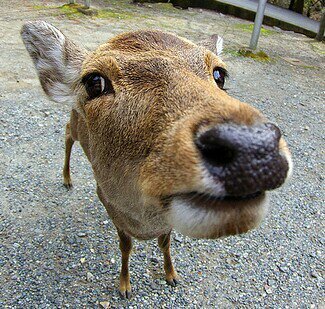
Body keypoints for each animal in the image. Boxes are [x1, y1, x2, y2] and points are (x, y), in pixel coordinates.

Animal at [21, 19, 292, 298]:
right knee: (66, 133)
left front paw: (171, 275)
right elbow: (125, 246)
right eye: (94, 81)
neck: (145, 225)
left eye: (220, 74)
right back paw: (66, 179)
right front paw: (125, 286)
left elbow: (165, 243)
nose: (253, 146)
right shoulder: (109, 203)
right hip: (75, 124)